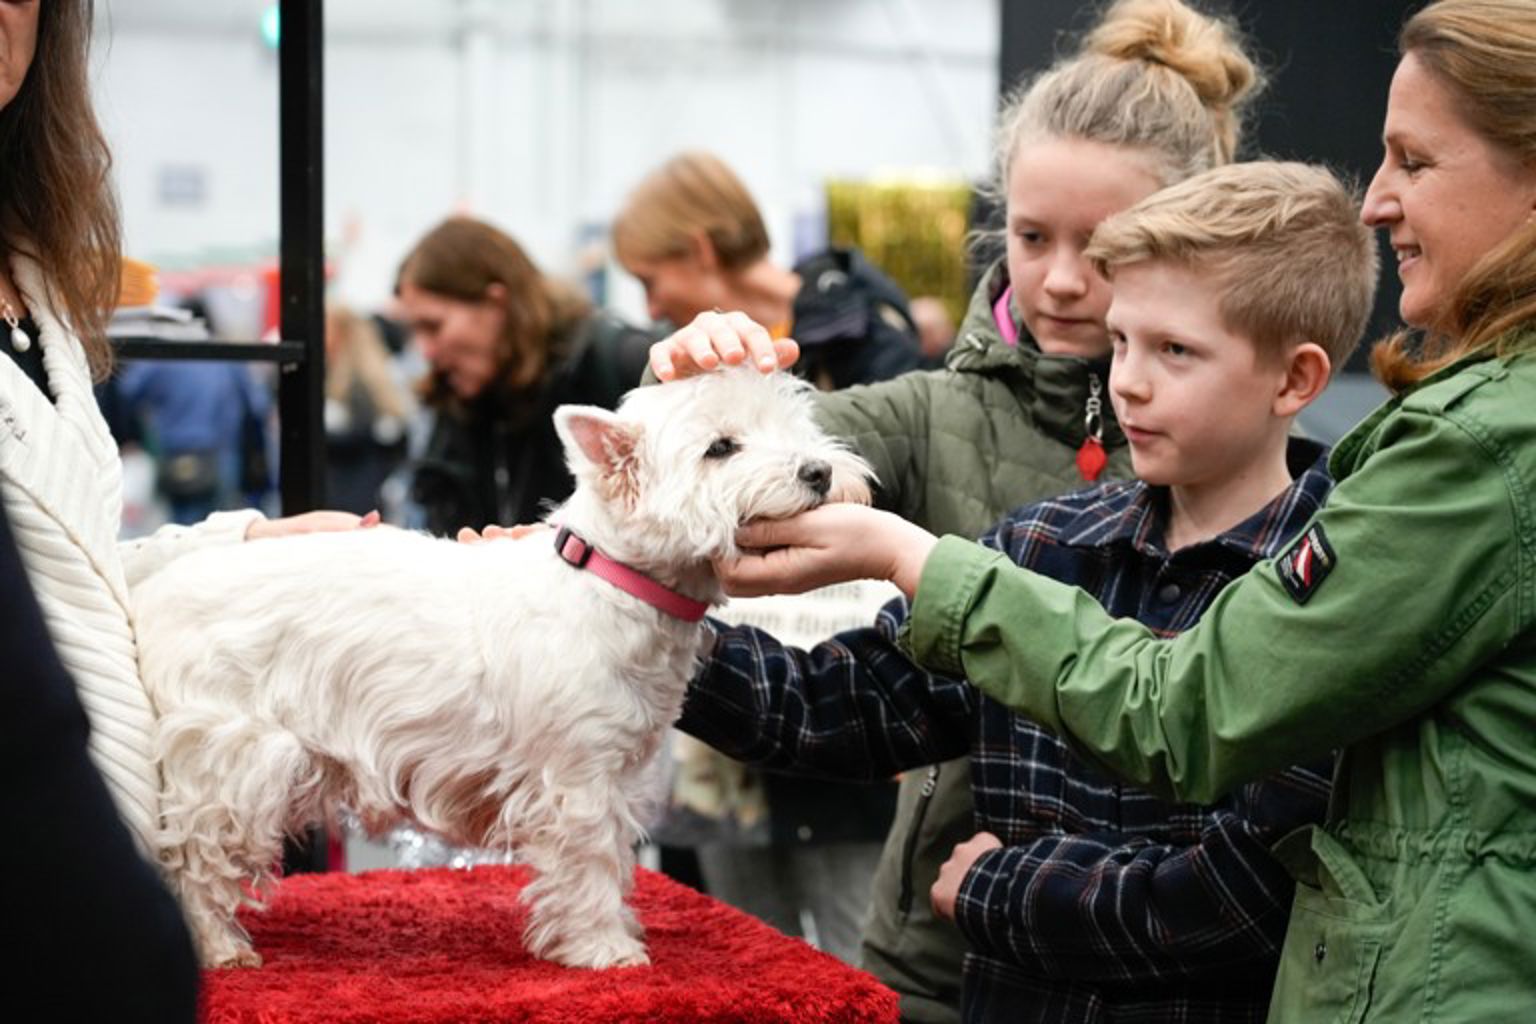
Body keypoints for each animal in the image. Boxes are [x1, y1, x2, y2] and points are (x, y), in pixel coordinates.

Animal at [132, 368, 878, 970]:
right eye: (721, 447)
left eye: (795, 426)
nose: (817, 472)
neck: (611, 582)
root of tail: (151, 599)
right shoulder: (577, 778)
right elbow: (591, 863)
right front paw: (607, 949)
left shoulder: (617, 773)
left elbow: (614, 857)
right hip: (227, 761)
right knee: (194, 857)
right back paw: (221, 949)